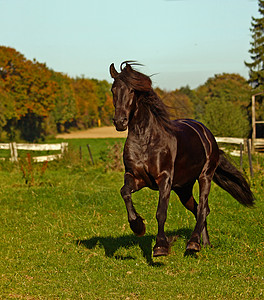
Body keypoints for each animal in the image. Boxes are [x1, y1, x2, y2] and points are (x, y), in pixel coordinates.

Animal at [109, 62, 254, 256]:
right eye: (113, 90)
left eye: (132, 90)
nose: (120, 122)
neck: (145, 140)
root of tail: (207, 134)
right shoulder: (136, 177)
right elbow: (124, 192)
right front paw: (138, 226)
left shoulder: (164, 179)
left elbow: (161, 212)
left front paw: (160, 246)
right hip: (183, 189)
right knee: (200, 209)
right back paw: (204, 243)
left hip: (205, 177)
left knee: (203, 208)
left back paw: (193, 244)